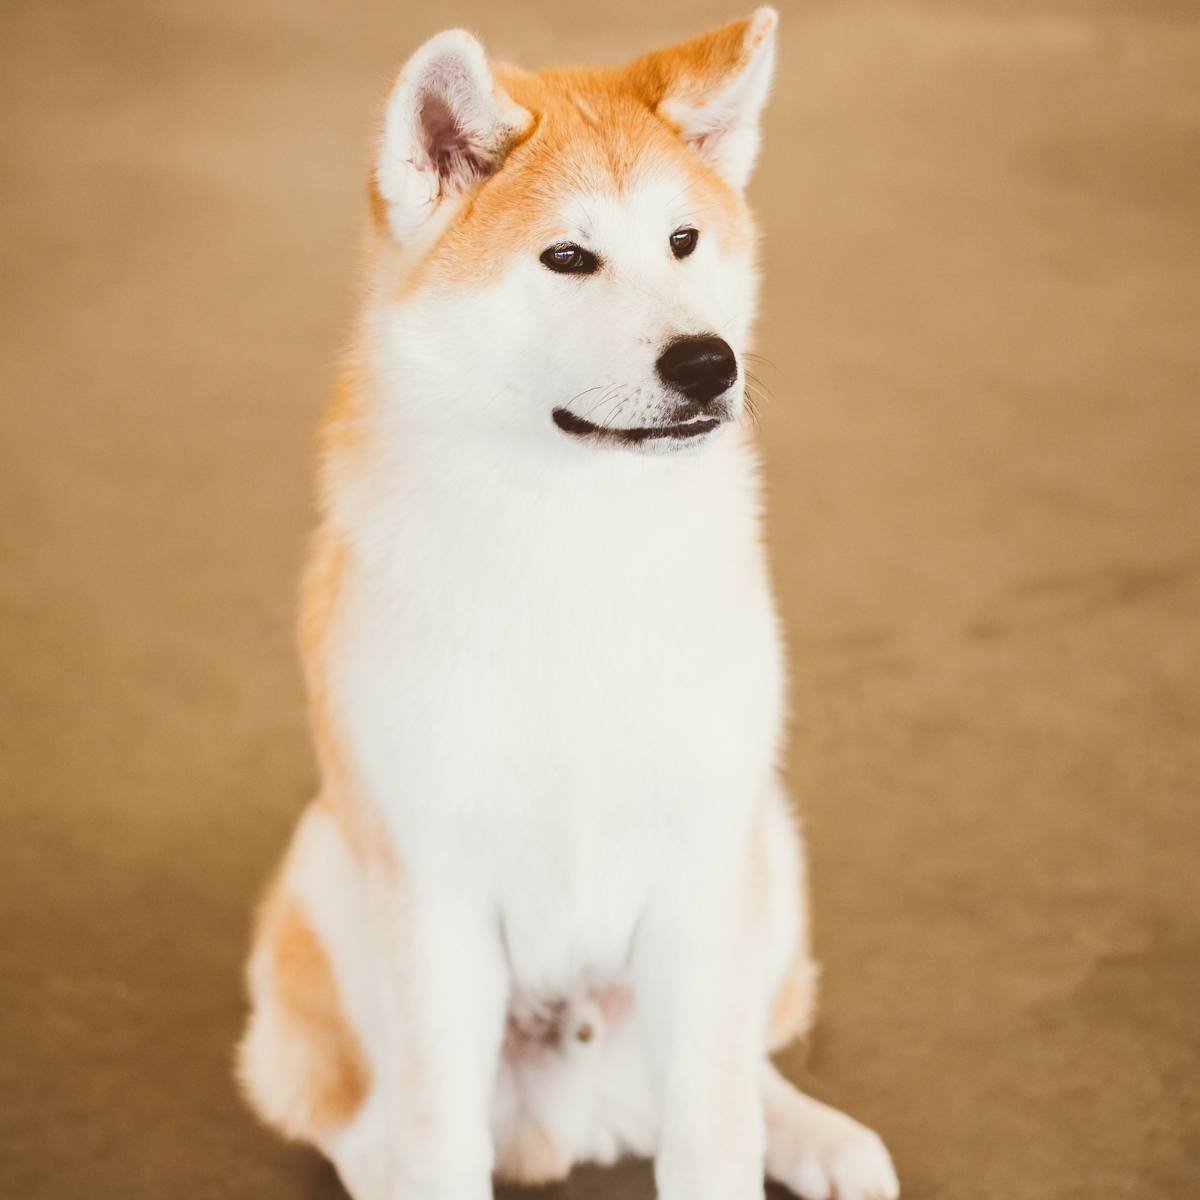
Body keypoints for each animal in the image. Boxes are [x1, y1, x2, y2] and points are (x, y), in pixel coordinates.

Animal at [236, 11, 902, 1200]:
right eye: (567, 257)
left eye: (684, 241)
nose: (708, 362)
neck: (578, 538)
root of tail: (578, 1116)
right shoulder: (436, 892)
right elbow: (438, 1140)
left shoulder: (704, 862)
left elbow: (714, 1131)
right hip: (324, 885)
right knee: (362, 1125)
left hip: (766, 843)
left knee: (743, 1073)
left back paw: (823, 1141)